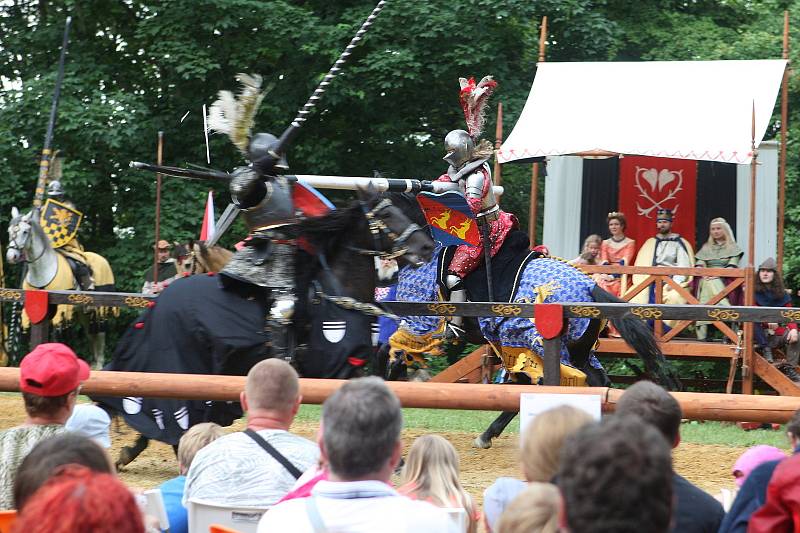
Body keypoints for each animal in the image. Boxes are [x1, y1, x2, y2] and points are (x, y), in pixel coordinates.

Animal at [5, 206, 115, 368]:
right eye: (9, 231)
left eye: (25, 231)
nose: (11, 256)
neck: (43, 270)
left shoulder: (61, 308)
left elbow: (58, 337)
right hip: (83, 312)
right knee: (91, 334)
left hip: (98, 309)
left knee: (100, 334)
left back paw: (99, 365)